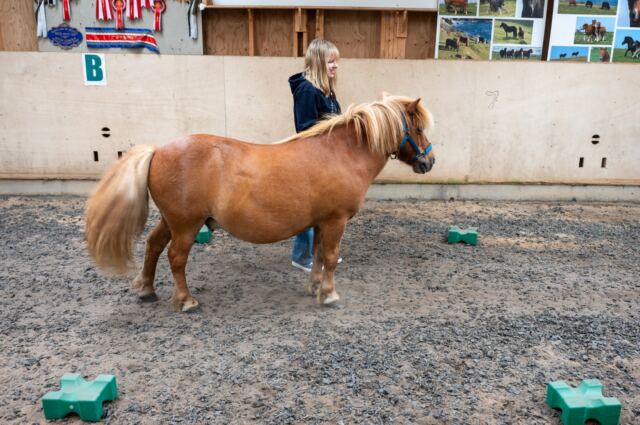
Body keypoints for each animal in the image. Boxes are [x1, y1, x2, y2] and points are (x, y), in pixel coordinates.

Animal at [84, 95, 436, 312]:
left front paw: (314, 287)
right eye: (417, 128)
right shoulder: (335, 221)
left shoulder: (320, 222)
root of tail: (158, 150)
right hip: (186, 225)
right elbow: (331, 257)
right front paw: (330, 295)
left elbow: (318, 256)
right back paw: (185, 300)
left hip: (171, 221)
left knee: (154, 246)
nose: (429, 161)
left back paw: (147, 288)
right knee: (176, 257)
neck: (342, 152)